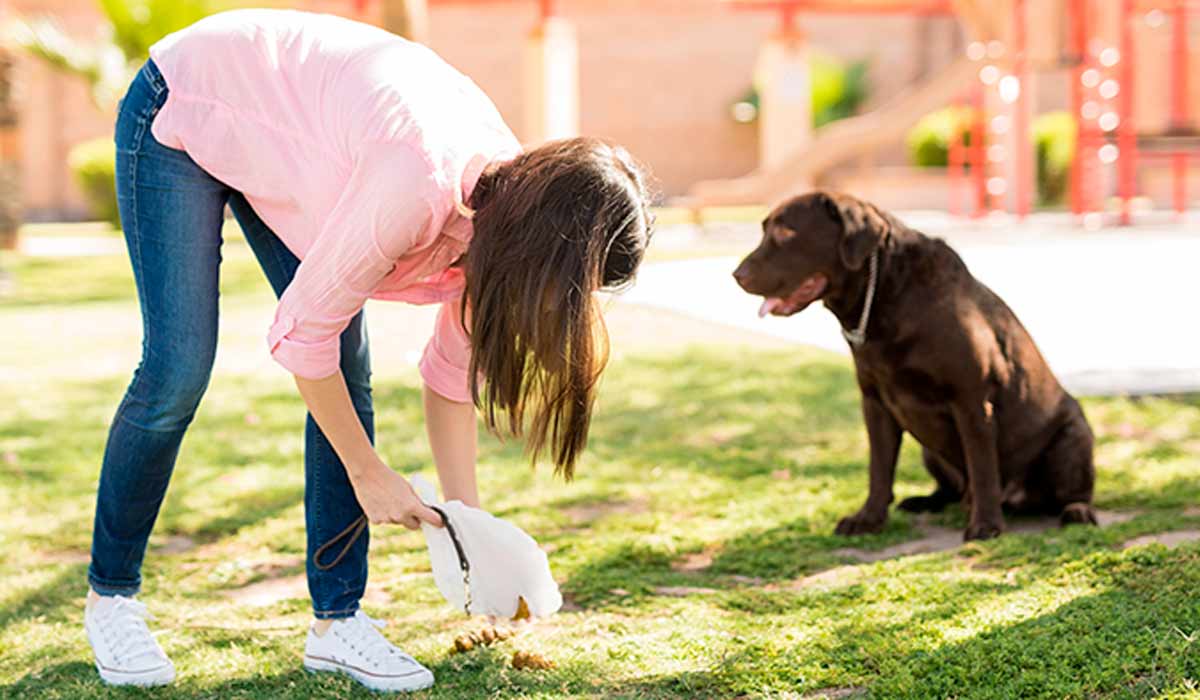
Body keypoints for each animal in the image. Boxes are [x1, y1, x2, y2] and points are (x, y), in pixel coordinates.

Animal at [729, 192, 1099, 542]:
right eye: (765, 231)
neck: (886, 298)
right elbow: (879, 470)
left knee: (1069, 492)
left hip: (1073, 437)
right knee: (952, 489)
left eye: (785, 233)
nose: (737, 275)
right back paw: (925, 501)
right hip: (929, 450)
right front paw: (869, 519)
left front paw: (986, 525)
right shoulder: (875, 404)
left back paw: (1076, 511)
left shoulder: (971, 402)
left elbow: (982, 468)